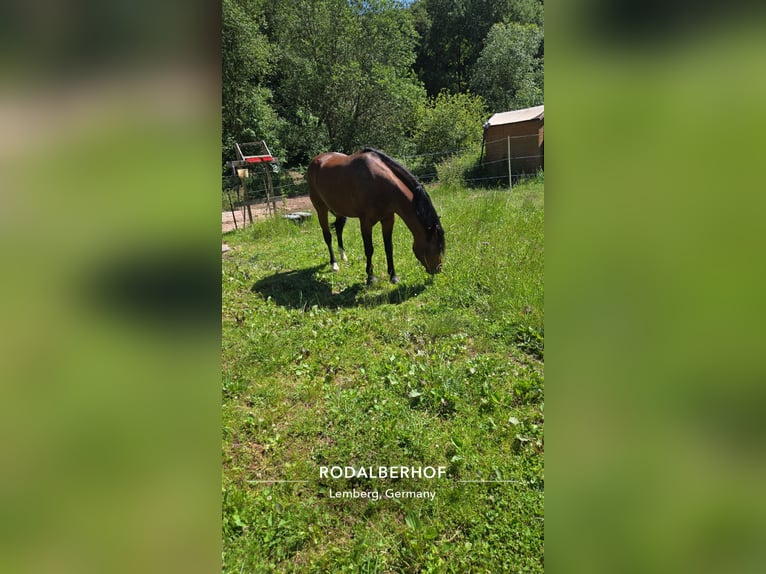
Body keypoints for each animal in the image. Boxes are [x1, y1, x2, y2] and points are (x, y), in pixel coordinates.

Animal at [307, 148, 445, 285]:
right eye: (436, 247)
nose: (438, 269)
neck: (378, 184)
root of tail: (315, 160)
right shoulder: (365, 223)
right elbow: (369, 249)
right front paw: (371, 277)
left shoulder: (388, 220)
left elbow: (389, 248)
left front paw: (393, 276)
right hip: (321, 209)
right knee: (328, 236)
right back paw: (334, 264)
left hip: (340, 210)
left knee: (338, 229)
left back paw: (343, 255)